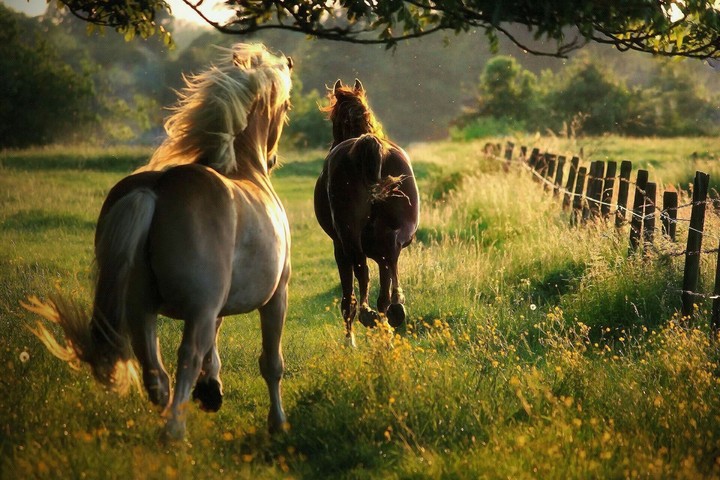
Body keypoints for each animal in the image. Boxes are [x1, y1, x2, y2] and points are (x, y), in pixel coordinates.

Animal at [23, 43, 294, 441]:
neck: (245, 170)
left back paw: (169, 415)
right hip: (194, 310)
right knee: (186, 357)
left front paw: (211, 390)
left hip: (141, 309)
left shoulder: (216, 304)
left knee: (155, 373)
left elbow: (217, 345)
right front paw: (277, 422)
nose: (273, 159)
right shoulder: (274, 296)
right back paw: (174, 431)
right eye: (286, 106)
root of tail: (155, 190)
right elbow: (271, 363)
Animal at [313, 79, 419, 347]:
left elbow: (348, 293)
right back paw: (393, 312)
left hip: (348, 238)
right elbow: (384, 278)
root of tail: (367, 144)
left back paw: (366, 316)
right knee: (390, 261)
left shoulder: (339, 246)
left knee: (361, 271)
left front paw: (349, 340)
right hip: (395, 233)